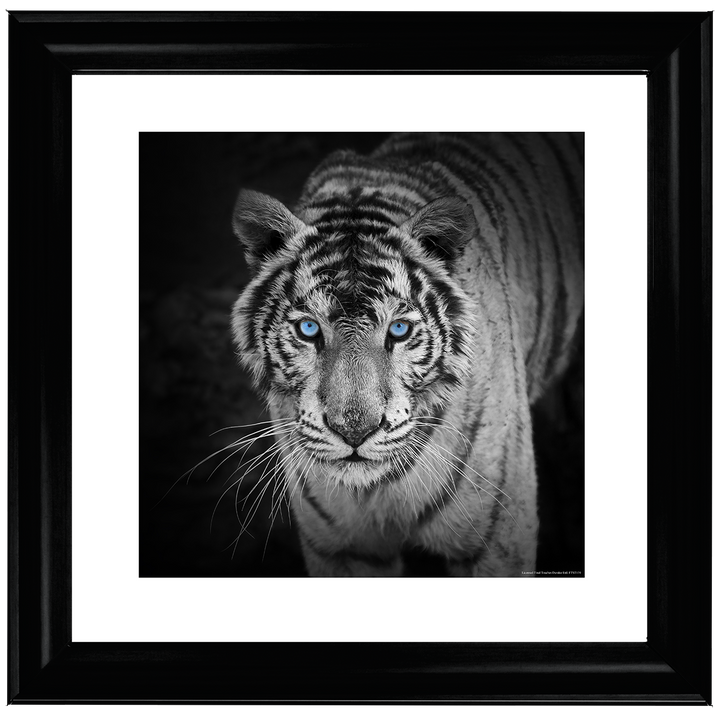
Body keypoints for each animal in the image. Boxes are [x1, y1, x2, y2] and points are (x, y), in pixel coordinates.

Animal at [229, 132, 583, 577]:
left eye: (398, 330)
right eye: (309, 329)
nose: (354, 432)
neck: (376, 490)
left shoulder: (495, 539)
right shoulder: (342, 548)